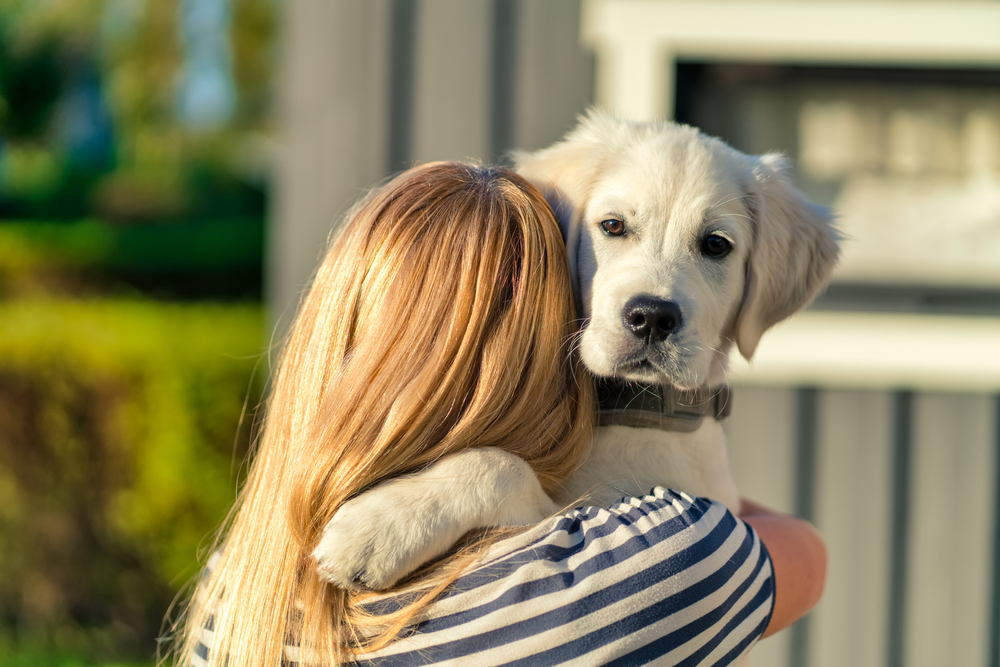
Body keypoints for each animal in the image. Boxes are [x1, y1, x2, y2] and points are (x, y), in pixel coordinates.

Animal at [316, 111, 840, 596]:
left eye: (716, 245)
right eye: (613, 226)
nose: (652, 317)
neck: (628, 406)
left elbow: (502, 466)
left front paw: (376, 528)